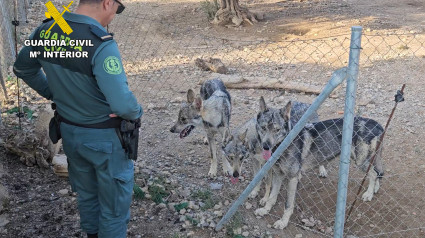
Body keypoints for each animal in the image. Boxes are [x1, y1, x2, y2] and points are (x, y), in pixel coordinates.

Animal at [252, 98, 384, 229]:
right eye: (263, 128)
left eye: (277, 130)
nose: (266, 146)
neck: (284, 144)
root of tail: (377, 124)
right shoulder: (278, 174)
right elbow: (272, 197)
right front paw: (265, 210)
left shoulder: (292, 178)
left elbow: (288, 204)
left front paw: (283, 222)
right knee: (378, 171)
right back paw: (375, 189)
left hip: (360, 161)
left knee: (373, 173)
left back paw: (369, 194)